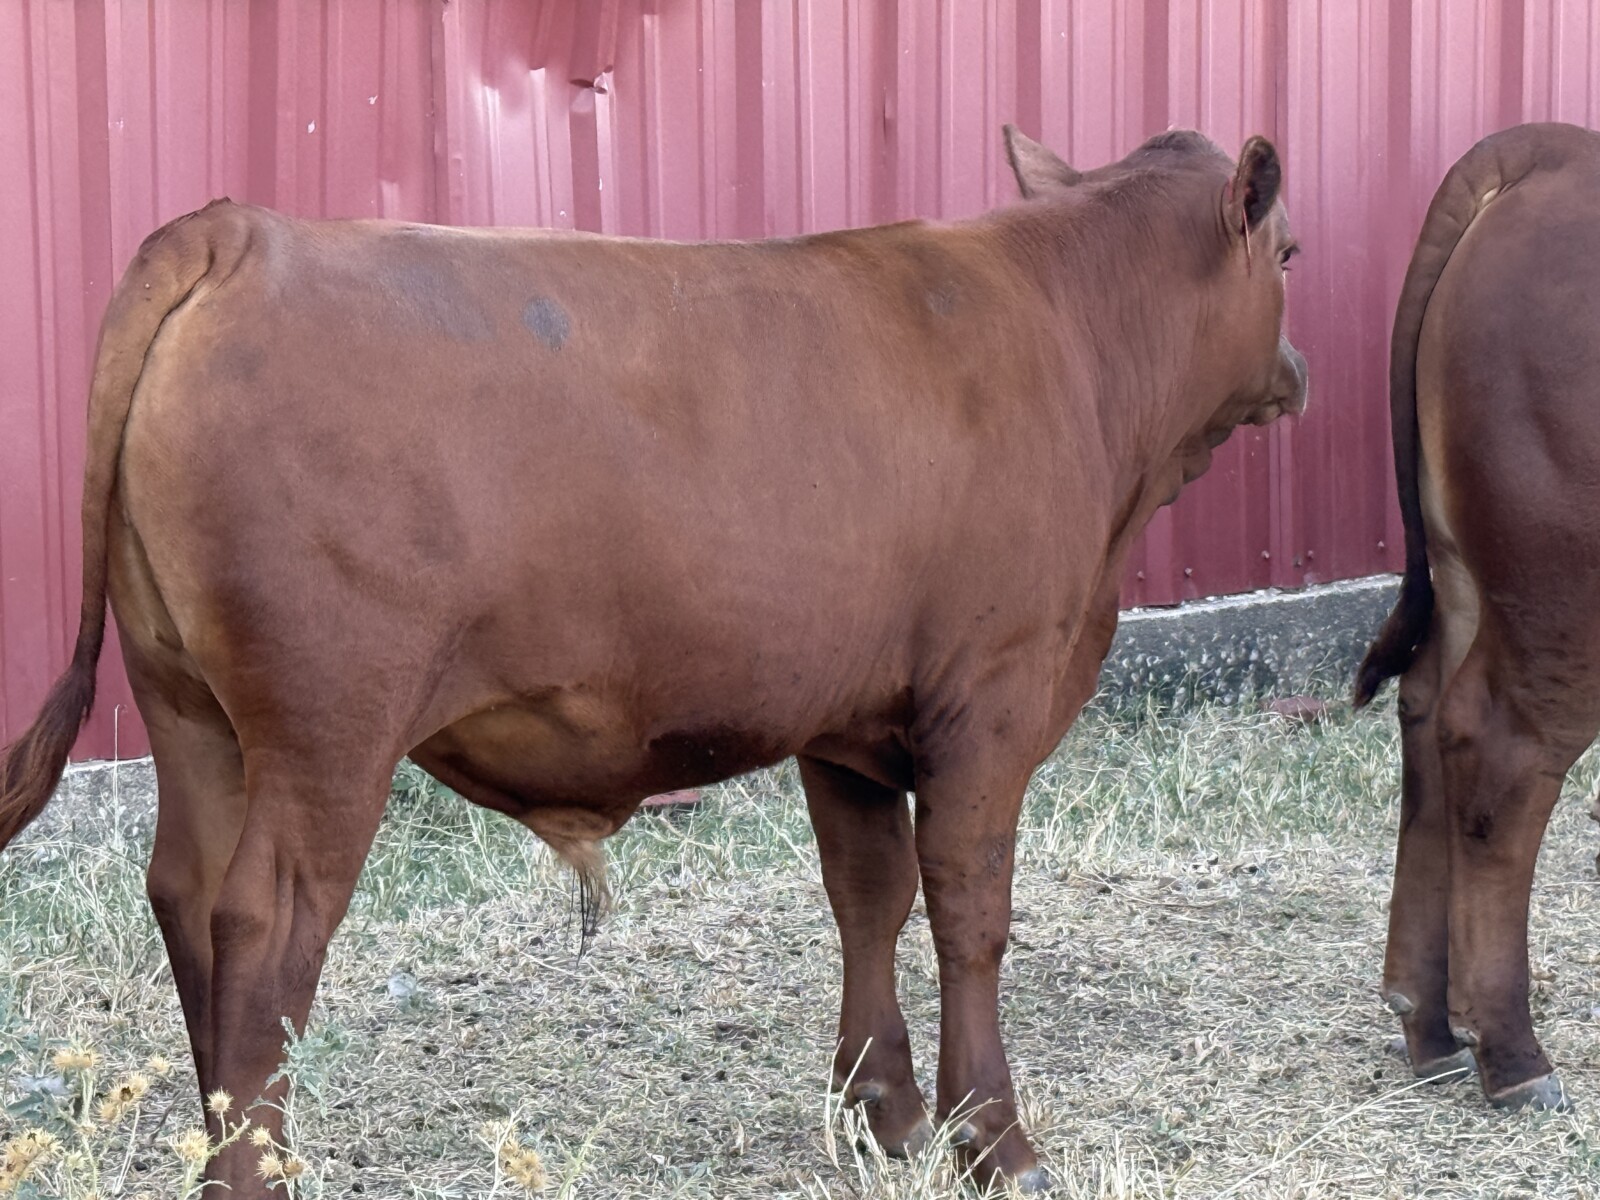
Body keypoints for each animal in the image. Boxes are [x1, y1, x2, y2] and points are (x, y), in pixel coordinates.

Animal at [0, 125, 1304, 1193]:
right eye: (1288, 253)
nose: (1294, 375)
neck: (1068, 338)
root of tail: (243, 233)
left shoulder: (850, 720)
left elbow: (867, 896)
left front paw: (882, 1113)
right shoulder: (990, 694)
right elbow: (968, 911)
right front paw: (995, 1141)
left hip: (189, 710)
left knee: (183, 893)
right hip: (330, 728)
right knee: (264, 930)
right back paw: (255, 1172)